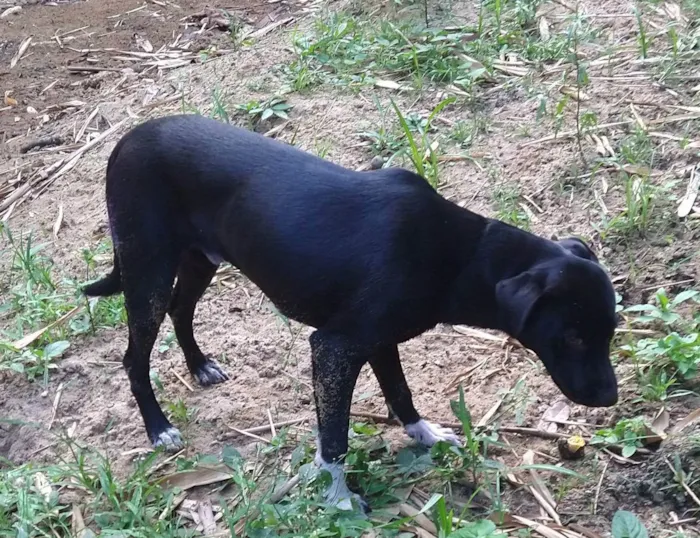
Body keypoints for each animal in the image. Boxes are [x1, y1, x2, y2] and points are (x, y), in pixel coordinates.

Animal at [83, 114, 616, 510]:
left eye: (610, 331)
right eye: (573, 337)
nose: (610, 398)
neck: (459, 254)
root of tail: (127, 139)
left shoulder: (379, 341)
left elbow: (400, 393)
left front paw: (426, 435)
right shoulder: (335, 349)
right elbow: (334, 439)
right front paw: (337, 498)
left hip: (198, 260)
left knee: (182, 310)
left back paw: (199, 366)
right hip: (147, 271)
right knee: (135, 356)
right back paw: (159, 429)